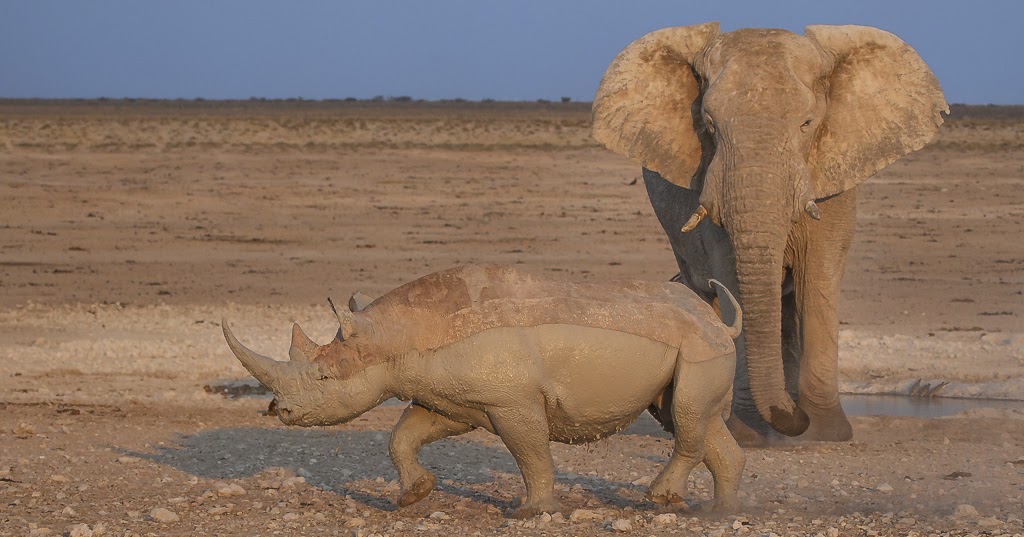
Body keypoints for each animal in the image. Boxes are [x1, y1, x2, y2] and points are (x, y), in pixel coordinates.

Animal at [223, 264, 745, 517]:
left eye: (324, 381)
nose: (280, 410)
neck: (393, 337)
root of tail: (717, 318)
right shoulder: (449, 398)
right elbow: (403, 436)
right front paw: (414, 497)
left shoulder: (512, 401)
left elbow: (532, 453)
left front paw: (531, 513)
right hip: (698, 345)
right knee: (689, 415)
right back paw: (719, 510)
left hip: (700, 348)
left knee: (687, 415)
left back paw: (662, 501)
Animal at [592, 23, 947, 442]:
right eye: (709, 125)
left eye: (807, 124)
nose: (794, 416)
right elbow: (732, 280)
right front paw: (750, 435)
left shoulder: (834, 182)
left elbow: (818, 278)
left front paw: (826, 433)